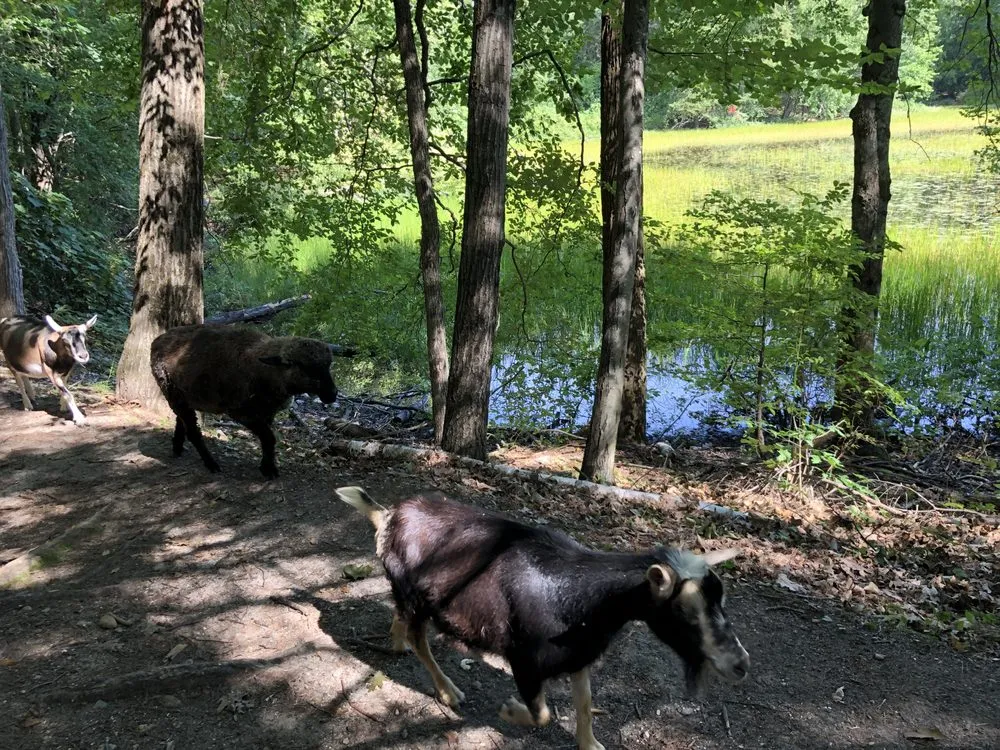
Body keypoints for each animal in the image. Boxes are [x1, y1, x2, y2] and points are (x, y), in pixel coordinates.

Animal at [150, 324, 337, 479]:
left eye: (328, 366)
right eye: (304, 367)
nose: (332, 395)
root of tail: (158, 340)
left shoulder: (267, 413)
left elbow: (267, 439)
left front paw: (266, 465)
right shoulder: (241, 413)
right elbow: (269, 438)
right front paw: (269, 469)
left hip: (184, 395)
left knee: (181, 421)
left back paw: (177, 448)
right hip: (171, 390)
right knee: (193, 431)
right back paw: (211, 464)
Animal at [337, 487, 750, 750]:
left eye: (722, 601)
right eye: (685, 610)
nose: (741, 664)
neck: (583, 603)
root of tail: (388, 517)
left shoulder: (579, 655)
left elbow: (584, 705)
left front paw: (592, 745)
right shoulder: (525, 660)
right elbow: (544, 715)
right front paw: (509, 710)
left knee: (402, 620)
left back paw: (396, 643)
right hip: (418, 597)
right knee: (421, 639)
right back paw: (449, 691)